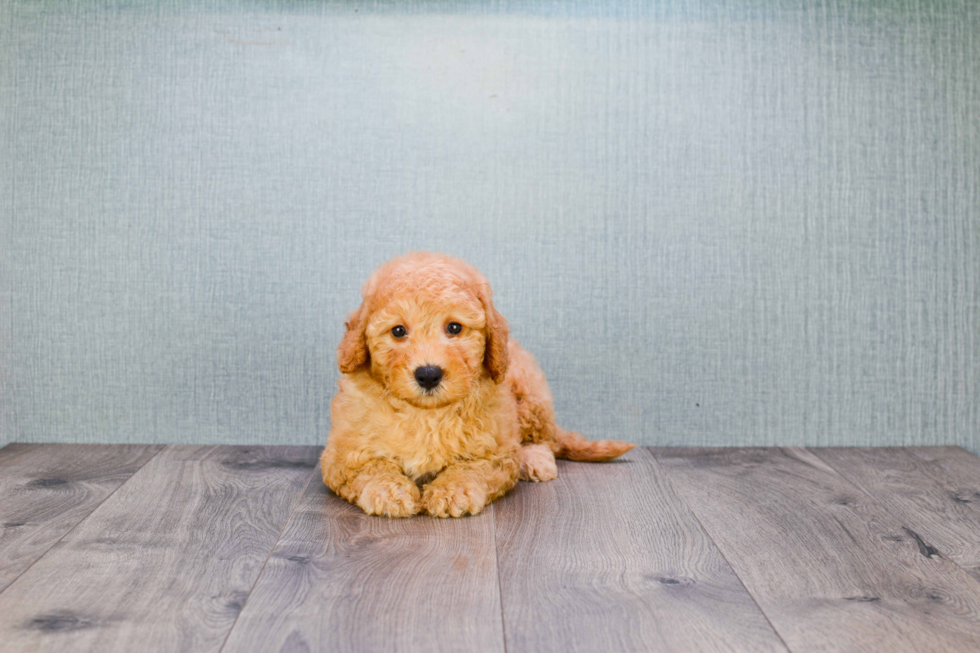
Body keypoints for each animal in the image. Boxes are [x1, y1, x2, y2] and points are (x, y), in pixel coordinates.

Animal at [318, 252, 632, 516]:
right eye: (398, 331)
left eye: (454, 327)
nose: (428, 374)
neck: (427, 414)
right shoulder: (343, 454)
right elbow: (372, 467)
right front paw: (389, 491)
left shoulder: (496, 451)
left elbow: (471, 467)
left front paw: (452, 491)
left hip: (530, 395)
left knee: (545, 439)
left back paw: (534, 460)